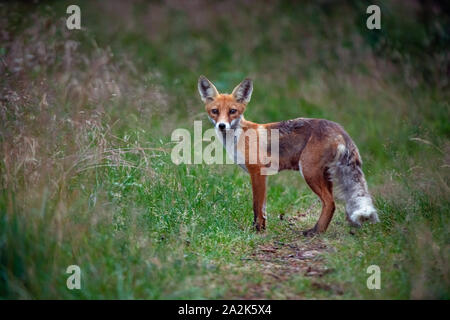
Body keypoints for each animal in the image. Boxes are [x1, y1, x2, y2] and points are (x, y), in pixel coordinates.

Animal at [199, 75, 378, 235]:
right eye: (215, 111)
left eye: (232, 111)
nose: (222, 126)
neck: (239, 137)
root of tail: (339, 128)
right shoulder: (264, 176)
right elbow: (263, 208)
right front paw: (262, 229)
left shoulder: (257, 172)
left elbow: (256, 206)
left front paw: (256, 230)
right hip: (326, 175)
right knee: (332, 203)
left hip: (309, 172)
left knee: (330, 203)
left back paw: (316, 231)